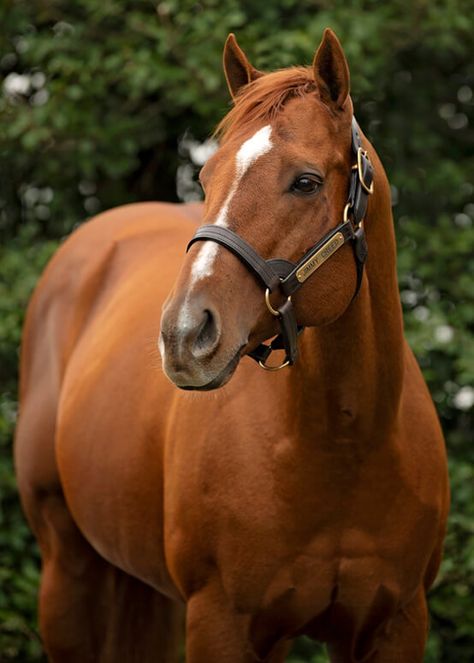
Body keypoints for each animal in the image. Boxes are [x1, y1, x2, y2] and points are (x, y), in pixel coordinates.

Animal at [16, 31, 448, 663]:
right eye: (205, 178)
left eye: (306, 181)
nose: (183, 334)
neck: (346, 444)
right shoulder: (222, 622)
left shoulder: (396, 624)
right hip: (66, 571)